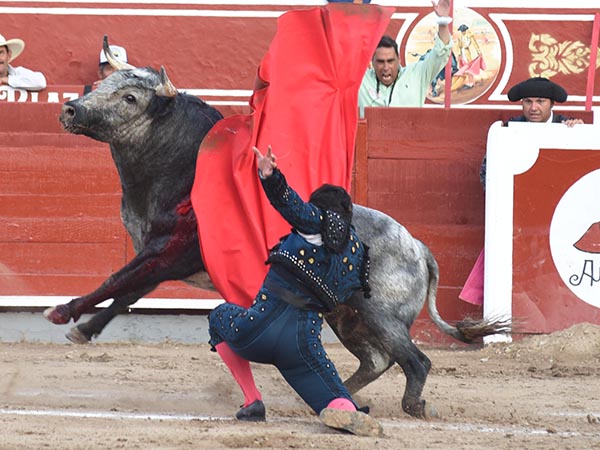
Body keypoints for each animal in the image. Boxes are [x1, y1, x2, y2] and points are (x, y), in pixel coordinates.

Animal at [44, 37, 508, 418]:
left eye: (129, 97)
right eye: (99, 84)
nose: (71, 108)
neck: (180, 172)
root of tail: (417, 246)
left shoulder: (166, 251)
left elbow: (114, 281)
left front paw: (62, 312)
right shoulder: (161, 258)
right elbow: (126, 294)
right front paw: (83, 330)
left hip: (380, 313)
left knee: (414, 359)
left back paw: (410, 406)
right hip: (347, 315)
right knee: (376, 360)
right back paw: (336, 398)